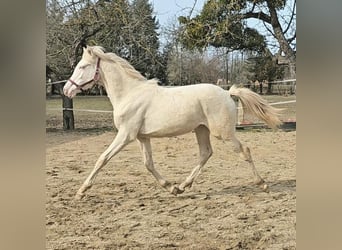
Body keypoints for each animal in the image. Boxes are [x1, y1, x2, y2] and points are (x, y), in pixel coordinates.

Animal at [63, 46, 280, 200]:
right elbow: (148, 164)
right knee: (206, 153)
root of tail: (227, 93)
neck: (130, 94)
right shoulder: (142, 137)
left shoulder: (126, 135)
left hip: (223, 133)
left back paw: (263, 184)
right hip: (201, 130)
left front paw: (81, 191)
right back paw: (183, 186)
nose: (66, 90)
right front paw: (171, 188)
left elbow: (102, 159)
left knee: (244, 151)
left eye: (82, 67)